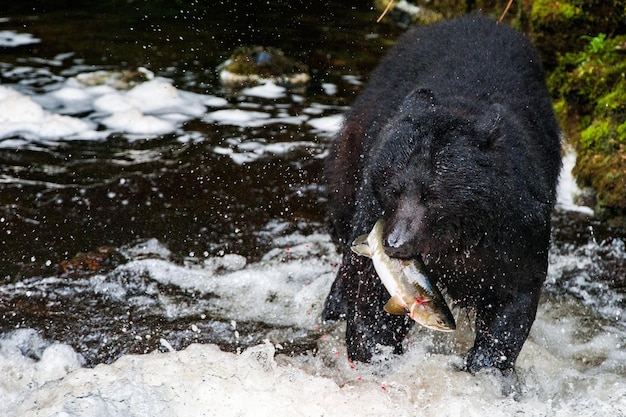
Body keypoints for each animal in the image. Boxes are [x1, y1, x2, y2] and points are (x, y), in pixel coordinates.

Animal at [322, 13, 560, 372]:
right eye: (393, 189)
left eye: (432, 194)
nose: (395, 244)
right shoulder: (375, 210)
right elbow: (373, 294)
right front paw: (374, 352)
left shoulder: (516, 226)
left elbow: (513, 295)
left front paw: (485, 366)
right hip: (358, 141)